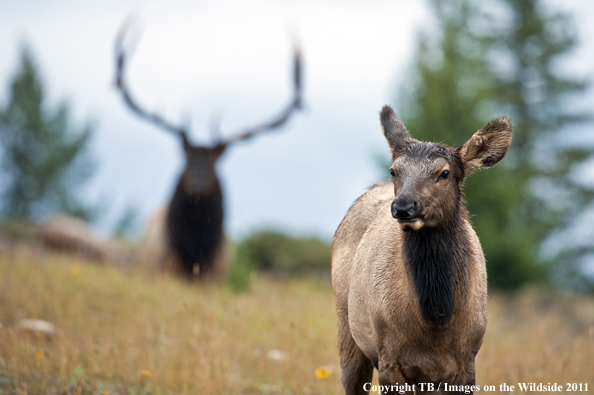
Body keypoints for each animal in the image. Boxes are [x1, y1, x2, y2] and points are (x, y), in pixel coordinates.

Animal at [330, 106, 512, 395]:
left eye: (444, 173)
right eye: (394, 170)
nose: (403, 206)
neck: (436, 318)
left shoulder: (466, 363)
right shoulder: (390, 359)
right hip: (347, 327)